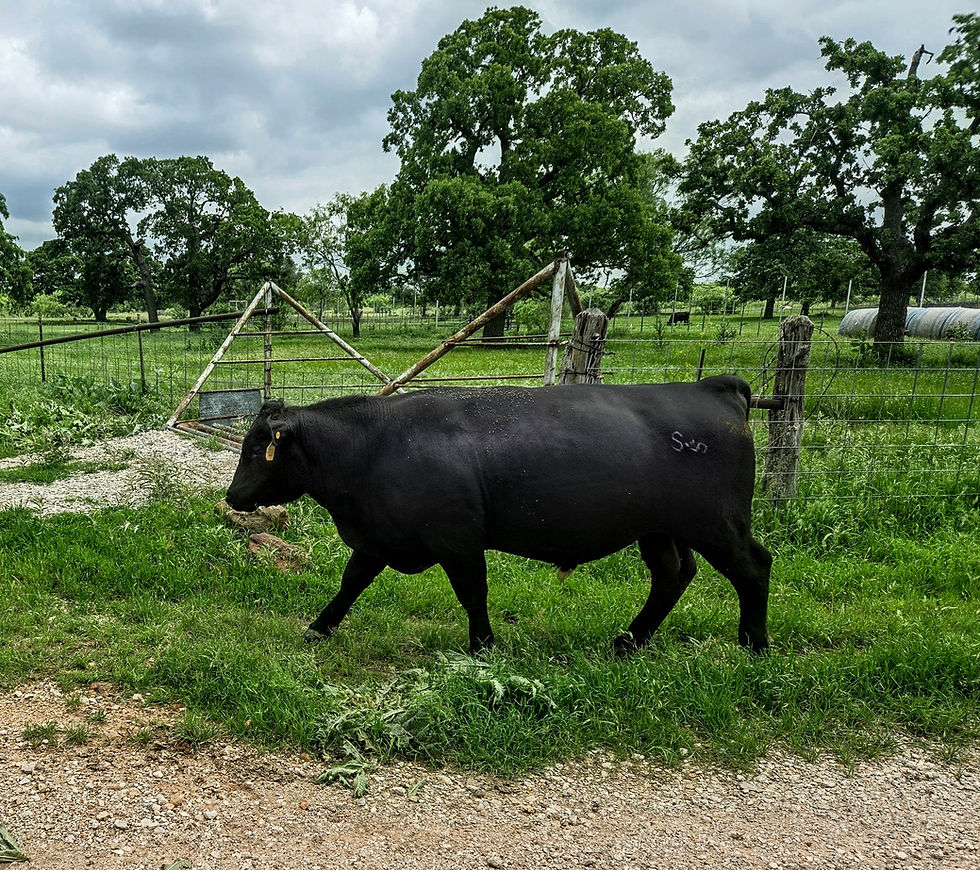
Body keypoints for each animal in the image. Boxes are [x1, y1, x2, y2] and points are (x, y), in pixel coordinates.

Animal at [225, 375, 772, 655]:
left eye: (255, 449)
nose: (232, 497)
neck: (375, 444)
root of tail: (712, 387)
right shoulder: (379, 539)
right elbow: (351, 583)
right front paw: (319, 628)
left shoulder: (458, 541)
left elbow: (472, 594)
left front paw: (482, 646)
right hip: (660, 530)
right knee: (672, 575)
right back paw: (629, 641)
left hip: (717, 525)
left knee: (753, 567)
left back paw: (754, 643)